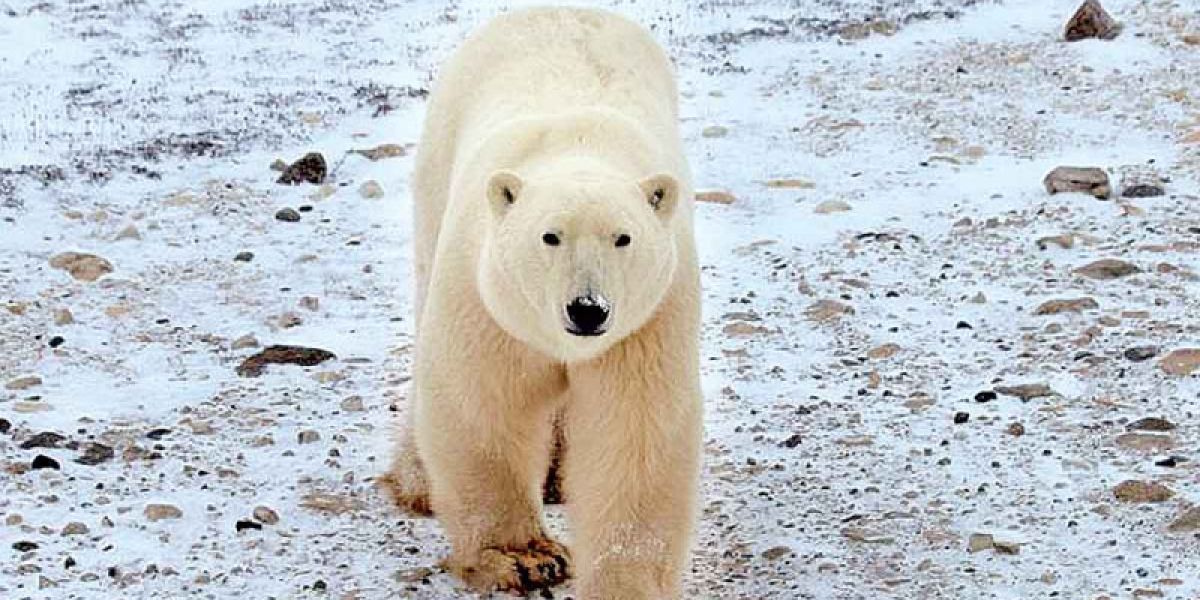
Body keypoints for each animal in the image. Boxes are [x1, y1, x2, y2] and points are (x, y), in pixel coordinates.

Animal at [384, 8, 700, 600]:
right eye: (550, 236)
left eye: (623, 238)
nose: (587, 309)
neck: (580, 146)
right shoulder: (486, 299)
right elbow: (481, 402)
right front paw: (524, 559)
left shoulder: (648, 320)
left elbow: (634, 429)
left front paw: (623, 581)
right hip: (437, 173)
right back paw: (416, 481)